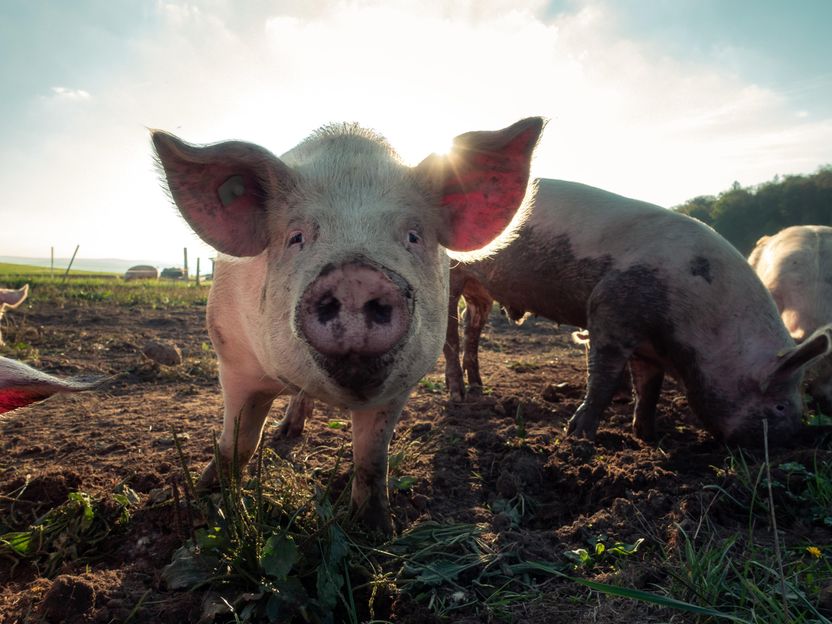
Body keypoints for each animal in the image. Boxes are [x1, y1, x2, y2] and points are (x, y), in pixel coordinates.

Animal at [152, 116, 544, 532]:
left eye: (413, 236)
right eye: (296, 237)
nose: (356, 277)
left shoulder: (401, 385)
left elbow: (371, 458)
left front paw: (376, 530)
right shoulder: (233, 357)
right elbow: (238, 443)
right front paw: (207, 502)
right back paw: (286, 432)